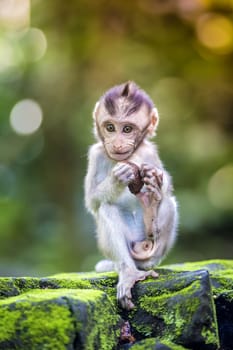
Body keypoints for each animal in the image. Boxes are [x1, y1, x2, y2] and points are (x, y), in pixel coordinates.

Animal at [84, 81, 177, 308]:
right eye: (110, 127)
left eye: (127, 129)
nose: (117, 143)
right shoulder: (96, 154)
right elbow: (92, 200)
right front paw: (117, 178)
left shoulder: (150, 152)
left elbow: (167, 186)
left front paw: (156, 183)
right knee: (106, 208)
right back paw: (128, 273)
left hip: (154, 251)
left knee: (169, 203)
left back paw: (151, 207)